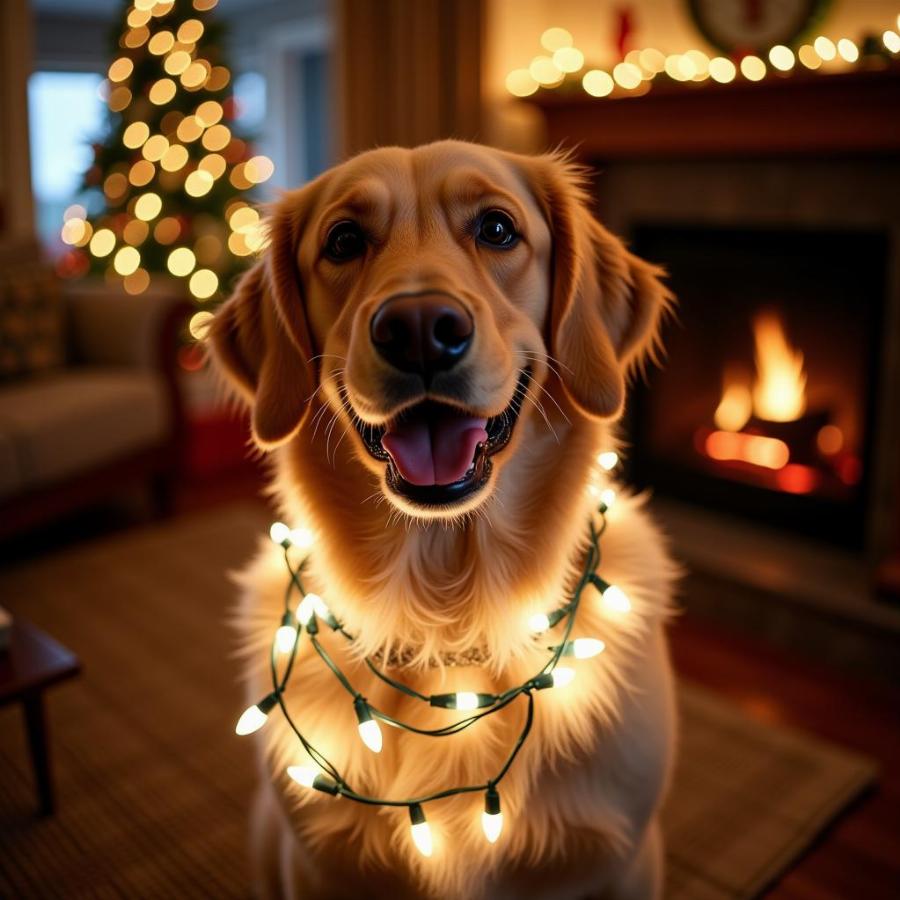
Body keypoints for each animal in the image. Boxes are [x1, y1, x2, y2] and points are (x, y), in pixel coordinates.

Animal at [209, 141, 676, 900]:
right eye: (344, 241)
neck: (449, 618)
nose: (421, 329)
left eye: (497, 229)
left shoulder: (625, 861)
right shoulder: (314, 866)